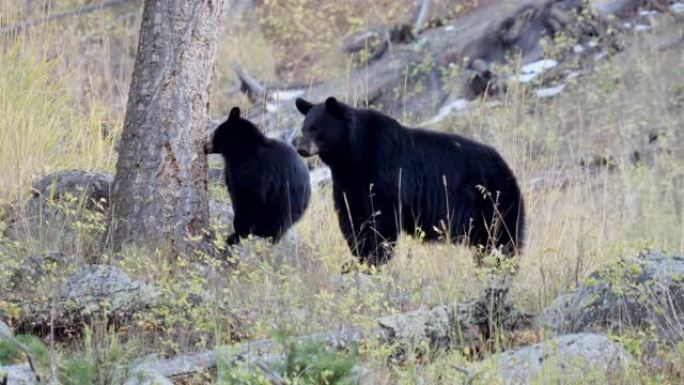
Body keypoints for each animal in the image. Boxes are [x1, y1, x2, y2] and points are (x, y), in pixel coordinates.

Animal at [211, 107, 312, 246]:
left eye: (216, 132)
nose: (206, 144)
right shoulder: (231, 172)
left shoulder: (253, 170)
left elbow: (249, 197)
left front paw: (237, 234)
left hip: (285, 203)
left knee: (278, 221)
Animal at [292, 95, 524, 268]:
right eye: (304, 127)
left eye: (316, 128)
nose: (300, 147)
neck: (353, 156)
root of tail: (507, 168)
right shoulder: (347, 183)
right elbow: (352, 217)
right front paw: (360, 256)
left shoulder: (384, 172)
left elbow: (382, 219)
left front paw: (376, 257)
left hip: (494, 202)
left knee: (503, 238)